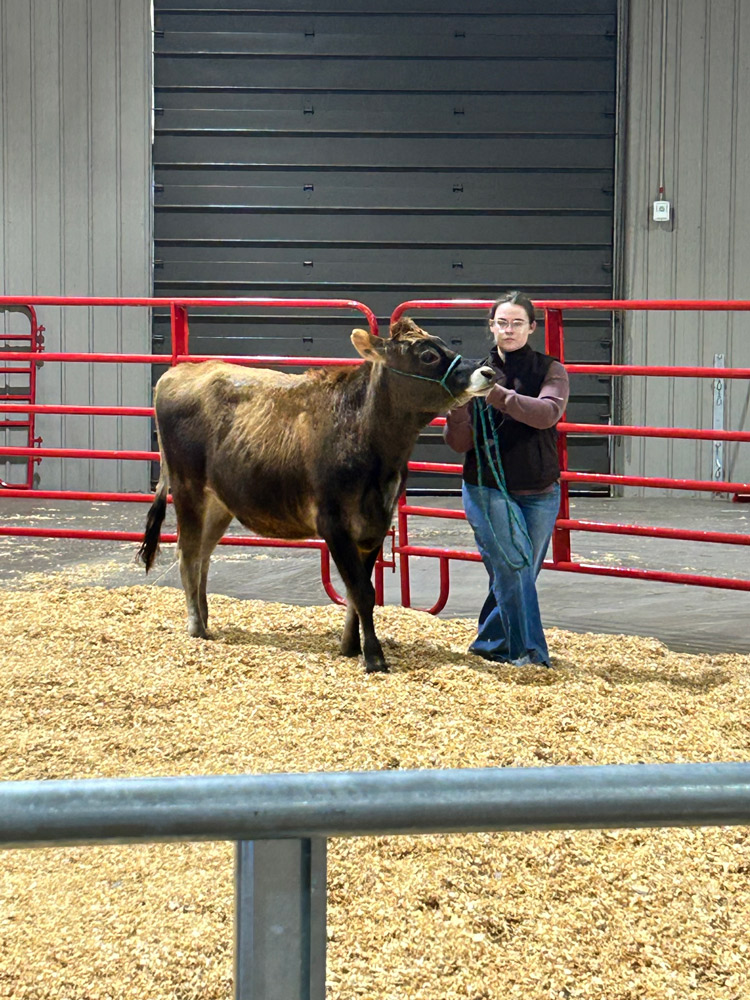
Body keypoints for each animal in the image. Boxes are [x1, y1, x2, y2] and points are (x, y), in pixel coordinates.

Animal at [137, 318, 495, 673]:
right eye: (427, 355)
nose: (487, 371)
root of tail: (178, 372)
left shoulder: (376, 524)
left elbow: (355, 592)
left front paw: (350, 646)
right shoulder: (333, 523)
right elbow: (362, 592)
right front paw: (374, 657)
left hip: (219, 502)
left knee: (204, 555)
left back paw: (206, 618)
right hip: (188, 488)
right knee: (188, 554)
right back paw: (196, 626)